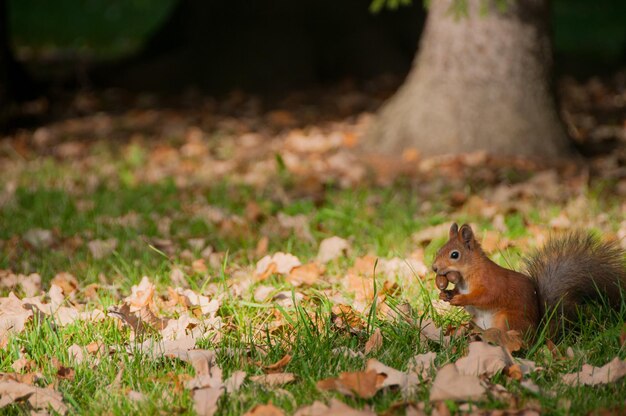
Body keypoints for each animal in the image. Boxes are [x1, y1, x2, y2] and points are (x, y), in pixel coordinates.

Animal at [432, 223, 620, 336]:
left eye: (454, 255)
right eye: (439, 249)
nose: (434, 267)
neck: (468, 274)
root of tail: (537, 334)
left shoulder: (490, 283)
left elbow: (484, 296)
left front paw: (460, 299)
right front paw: (445, 294)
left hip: (506, 321)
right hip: (477, 322)